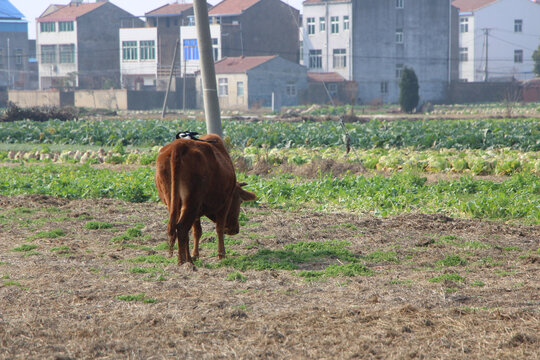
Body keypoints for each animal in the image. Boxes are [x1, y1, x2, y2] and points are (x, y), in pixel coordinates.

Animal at [153, 134, 256, 262]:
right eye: (240, 201)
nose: (235, 230)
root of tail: (179, 145)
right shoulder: (225, 203)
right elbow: (219, 228)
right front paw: (221, 254)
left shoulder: (196, 212)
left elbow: (197, 231)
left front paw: (195, 254)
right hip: (192, 202)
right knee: (182, 228)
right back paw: (184, 262)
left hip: (175, 203)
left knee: (180, 229)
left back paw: (187, 259)